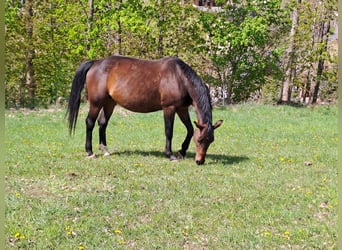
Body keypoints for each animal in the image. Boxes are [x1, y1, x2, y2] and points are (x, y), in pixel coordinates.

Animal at [67, 55, 223, 164]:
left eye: (211, 140)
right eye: (200, 140)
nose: (200, 161)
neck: (179, 77)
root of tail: (95, 63)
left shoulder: (181, 108)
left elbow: (190, 129)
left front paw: (182, 151)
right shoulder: (169, 108)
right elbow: (169, 132)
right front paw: (170, 154)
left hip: (109, 103)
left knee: (102, 123)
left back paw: (105, 150)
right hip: (96, 103)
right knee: (90, 122)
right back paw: (90, 152)